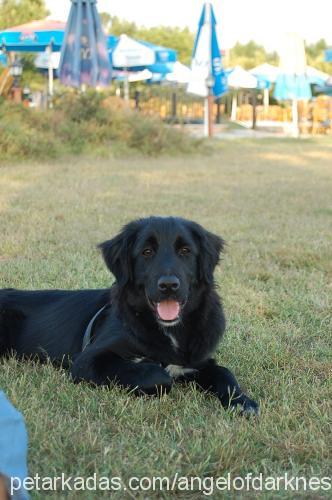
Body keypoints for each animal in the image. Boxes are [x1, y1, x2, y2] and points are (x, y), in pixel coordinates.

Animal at [0, 217, 258, 416]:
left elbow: (224, 372)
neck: (169, 330)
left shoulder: (198, 360)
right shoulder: (87, 361)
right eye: (147, 252)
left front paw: (242, 401)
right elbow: (157, 375)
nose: (168, 286)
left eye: (185, 251)